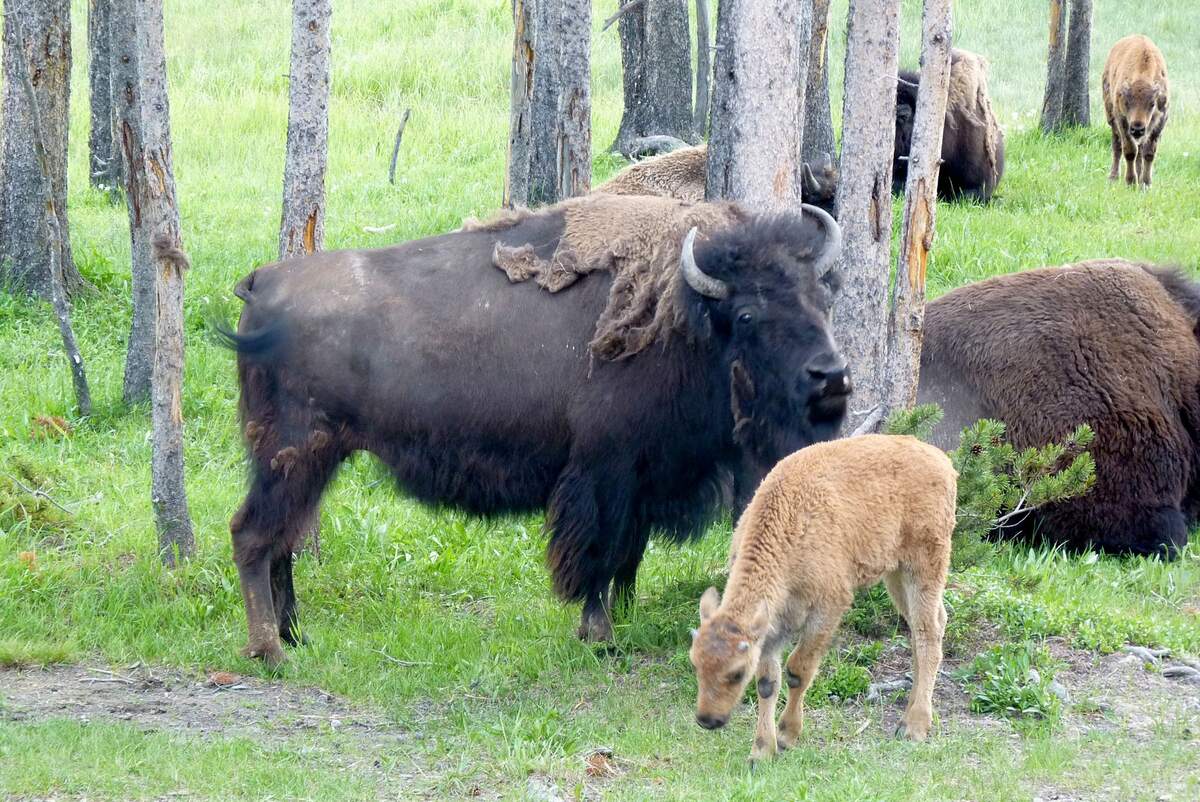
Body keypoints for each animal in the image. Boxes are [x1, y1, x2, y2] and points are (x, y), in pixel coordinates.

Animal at [218, 194, 854, 662]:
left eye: (822, 298)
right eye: (747, 314)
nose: (831, 377)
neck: (687, 318)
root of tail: (263, 281)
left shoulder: (644, 480)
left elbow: (629, 557)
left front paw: (621, 618)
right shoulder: (604, 474)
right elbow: (598, 555)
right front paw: (599, 636)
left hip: (309, 462)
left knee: (283, 541)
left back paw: (296, 636)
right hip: (294, 455)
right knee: (253, 535)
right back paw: (269, 649)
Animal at [686, 434, 955, 763]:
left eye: (737, 674)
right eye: (696, 664)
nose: (707, 720)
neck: (789, 526)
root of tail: (940, 459)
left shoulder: (826, 609)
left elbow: (798, 671)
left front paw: (786, 735)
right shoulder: (772, 624)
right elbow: (768, 682)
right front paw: (761, 751)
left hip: (925, 565)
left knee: (928, 633)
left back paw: (915, 727)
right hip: (896, 575)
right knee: (927, 627)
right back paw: (906, 719)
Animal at [1099, 34, 1166, 188]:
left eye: (1152, 104)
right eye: (1126, 102)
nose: (1137, 129)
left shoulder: (1160, 123)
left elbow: (1149, 153)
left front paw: (1146, 183)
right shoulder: (1122, 122)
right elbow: (1129, 151)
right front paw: (1130, 182)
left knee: (1140, 151)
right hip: (1111, 118)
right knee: (1117, 146)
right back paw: (1113, 177)